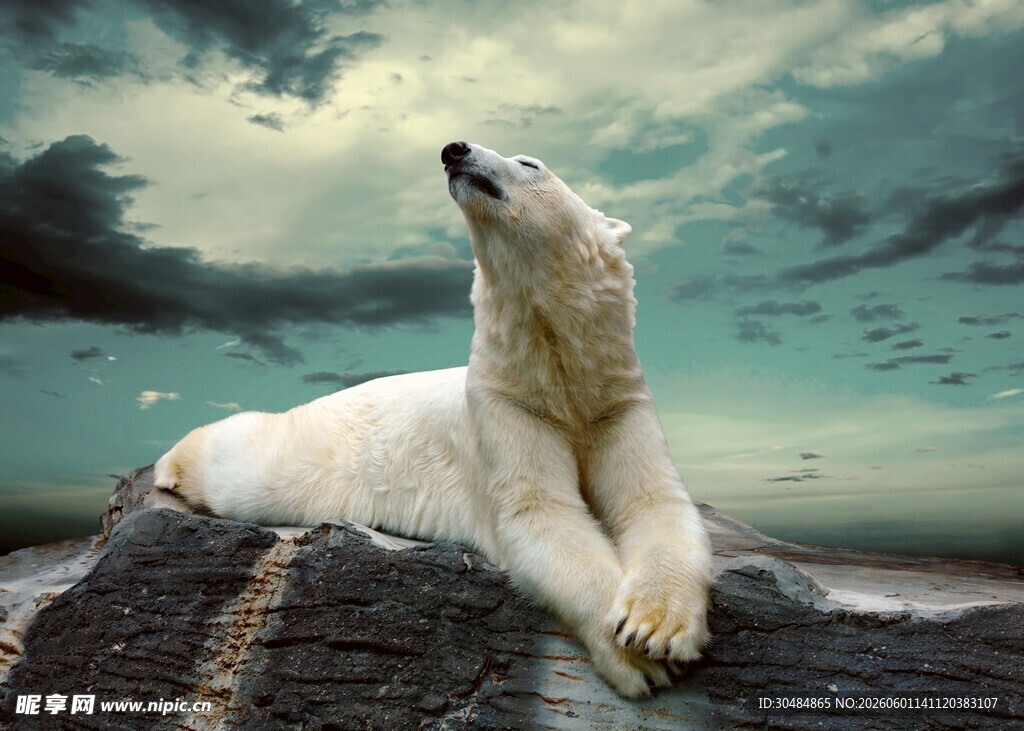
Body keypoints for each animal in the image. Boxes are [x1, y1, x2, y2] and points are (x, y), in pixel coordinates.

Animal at [154, 141, 713, 698]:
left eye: (530, 163)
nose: (454, 150)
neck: (557, 371)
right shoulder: (504, 404)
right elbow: (540, 513)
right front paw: (635, 656)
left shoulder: (616, 401)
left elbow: (654, 501)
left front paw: (654, 626)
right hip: (311, 452)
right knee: (243, 468)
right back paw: (170, 465)